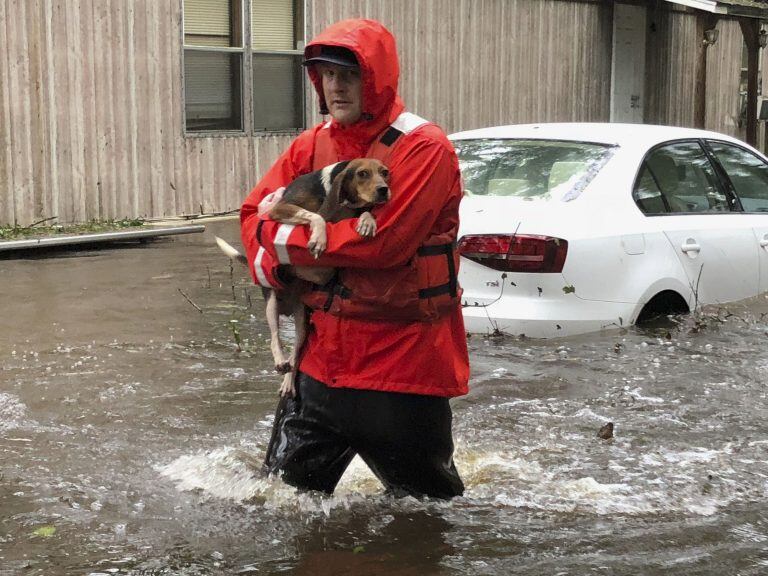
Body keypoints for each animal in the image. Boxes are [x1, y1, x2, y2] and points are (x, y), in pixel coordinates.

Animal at [219, 160, 392, 398]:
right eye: (362, 173)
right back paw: (280, 360)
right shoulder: (281, 208)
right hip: (271, 303)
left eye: (385, 172)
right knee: (275, 338)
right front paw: (319, 237)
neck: (329, 194)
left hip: (302, 321)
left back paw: (288, 380)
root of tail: (287, 306)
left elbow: (362, 213)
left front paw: (368, 221)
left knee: (296, 355)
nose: (384, 190)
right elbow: (315, 216)